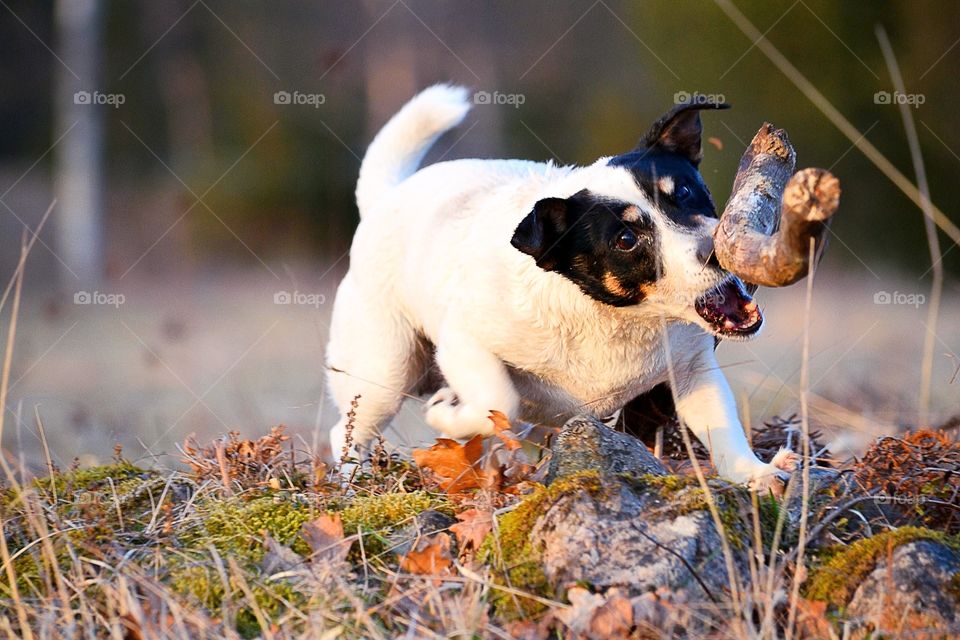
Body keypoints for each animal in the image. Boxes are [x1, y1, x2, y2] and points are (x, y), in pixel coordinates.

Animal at [326, 82, 800, 488]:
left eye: (684, 191)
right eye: (625, 240)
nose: (717, 251)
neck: (613, 317)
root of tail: (386, 197)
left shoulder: (692, 373)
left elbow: (722, 428)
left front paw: (756, 474)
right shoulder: (464, 342)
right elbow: (499, 399)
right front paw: (446, 415)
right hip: (384, 370)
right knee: (347, 430)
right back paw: (352, 483)